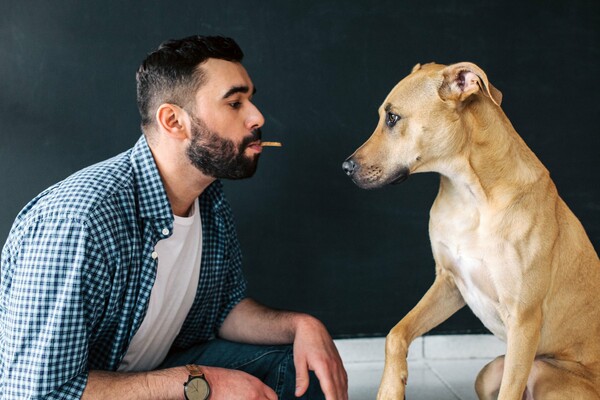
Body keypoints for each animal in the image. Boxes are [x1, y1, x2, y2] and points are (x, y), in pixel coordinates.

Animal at [342, 61, 600, 398]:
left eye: (392, 118)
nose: (345, 168)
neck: (471, 195)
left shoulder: (523, 319)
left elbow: (510, 390)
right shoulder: (449, 283)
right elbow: (395, 335)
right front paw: (391, 387)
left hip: (548, 378)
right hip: (488, 373)